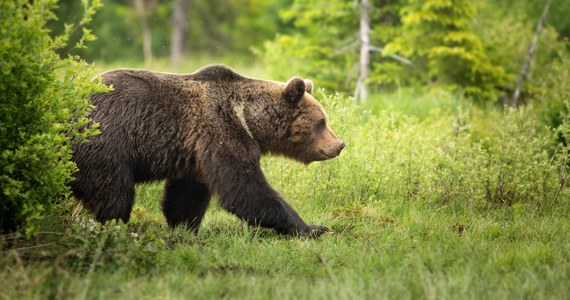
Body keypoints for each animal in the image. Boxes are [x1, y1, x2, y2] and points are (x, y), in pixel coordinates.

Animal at [72, 65, 344, 237]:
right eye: (321, 122)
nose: (340, 144)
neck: (249, 120)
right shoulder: (222, 133)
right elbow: (244, 188)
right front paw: (313, 228)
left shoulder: (194, 152)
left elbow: (187, 195)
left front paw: (184, 227)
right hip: (105, 145)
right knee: (114, 194)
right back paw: (114, 227)